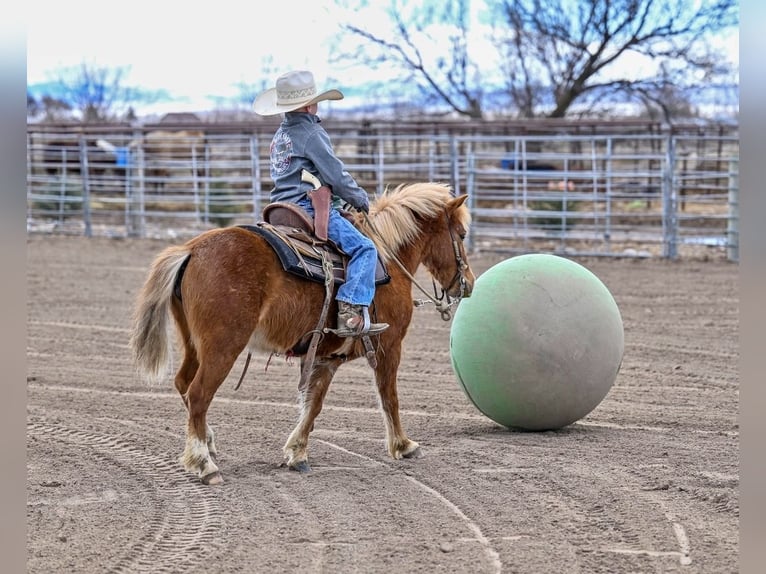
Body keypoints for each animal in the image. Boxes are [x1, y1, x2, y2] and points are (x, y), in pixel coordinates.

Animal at [129, 182, 475, 485]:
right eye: (461, 233)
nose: (468, 283)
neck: (387, 258)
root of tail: (191, 249)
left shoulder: (326, 356)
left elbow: (313, 403)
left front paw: (296, 453)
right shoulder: (389, 346)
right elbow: (389, 397)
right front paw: (403, 445)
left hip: (193, 343)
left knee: (183, 384)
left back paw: (209, 443)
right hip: (223, 347)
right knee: (198, 394)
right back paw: (204, 464)